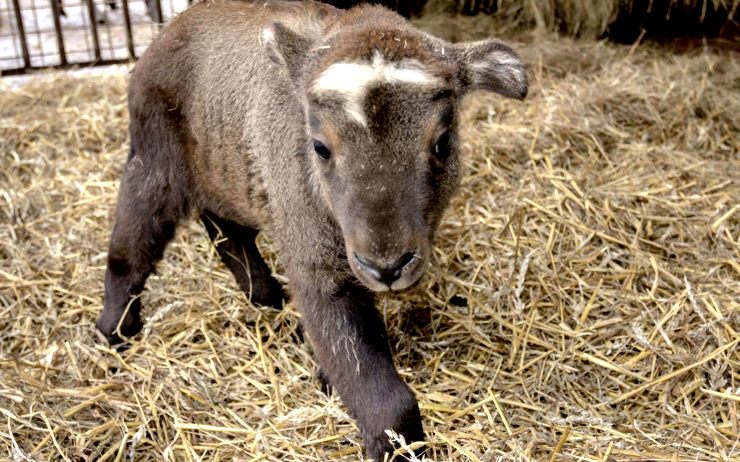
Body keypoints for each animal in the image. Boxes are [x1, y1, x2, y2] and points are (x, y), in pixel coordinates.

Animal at [97, 0, 528, 458]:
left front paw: (327, 377)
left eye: (442, 142)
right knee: (132, 242)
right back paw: (115, 329)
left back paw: (264, 296)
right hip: (154, 159)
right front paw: (395, 442)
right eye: (320, 147)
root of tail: (165, 30)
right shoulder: (317, 263)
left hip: (222, 168)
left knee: (225, 226)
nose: (387, 267)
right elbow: (378, 389)